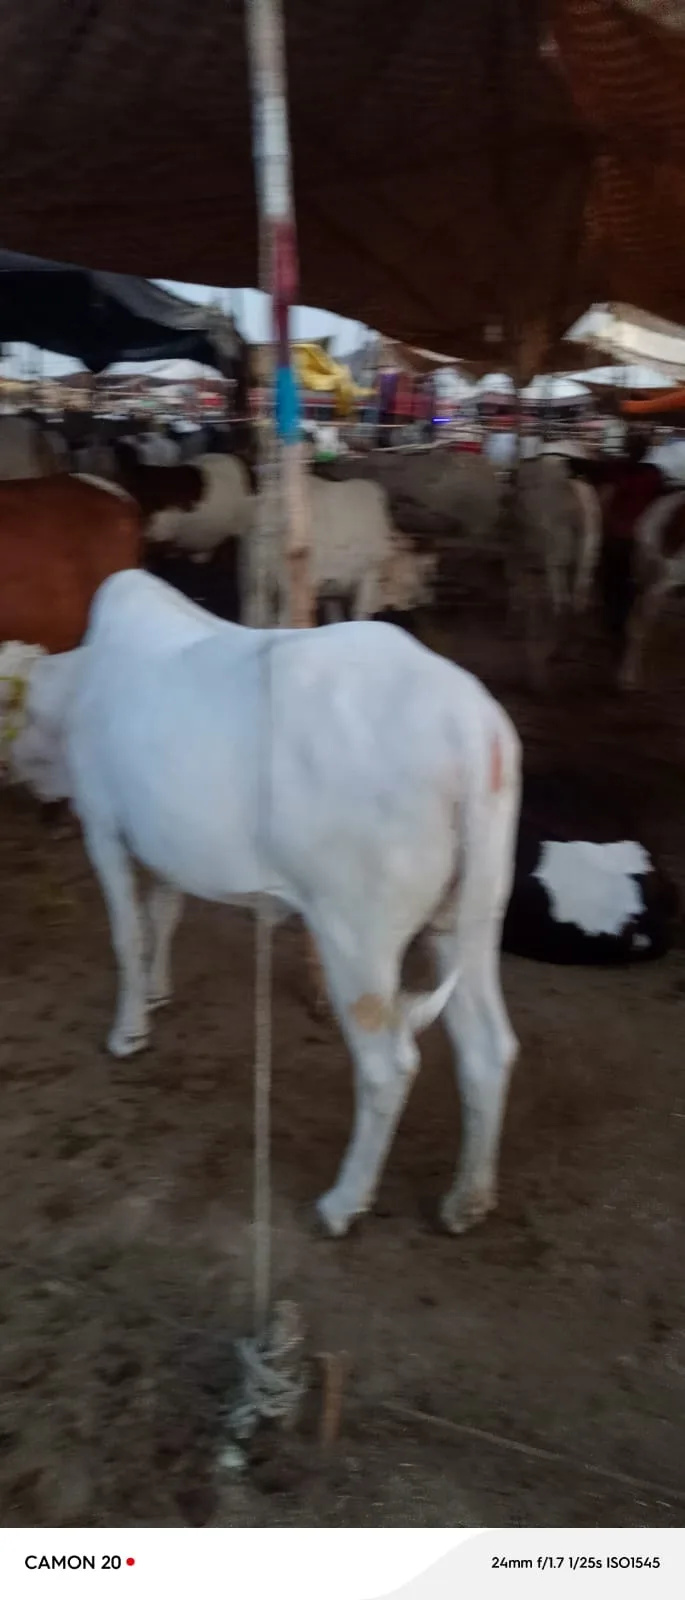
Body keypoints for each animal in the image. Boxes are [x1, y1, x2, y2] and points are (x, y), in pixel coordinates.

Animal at [1, 569, 521, 1239]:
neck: (74, 696)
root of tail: (469, 723)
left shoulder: (102, 824)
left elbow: (128, 931)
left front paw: (128, 1029)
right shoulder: (168, 838)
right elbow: (164, 913)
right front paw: (157, 991)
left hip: (356, 934)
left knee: (388, 1066)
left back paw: (343, 1202)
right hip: (471, 918)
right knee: (487, 1048)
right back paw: (466, 1200)